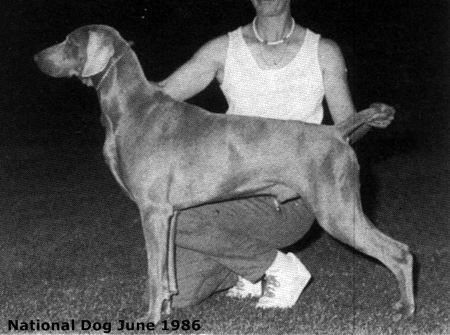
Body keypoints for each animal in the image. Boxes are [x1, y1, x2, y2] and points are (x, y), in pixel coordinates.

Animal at [35, 25, 414, 324]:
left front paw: (150, 318)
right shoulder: (169, 214)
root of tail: (337, 131)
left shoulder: (152, 211)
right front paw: (167, 309)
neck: (131, 109)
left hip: (337, 211)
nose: (37, 57)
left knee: (399, 252)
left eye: (69, 41)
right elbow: (167, 272)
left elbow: (153, 273)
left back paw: (406, 309)